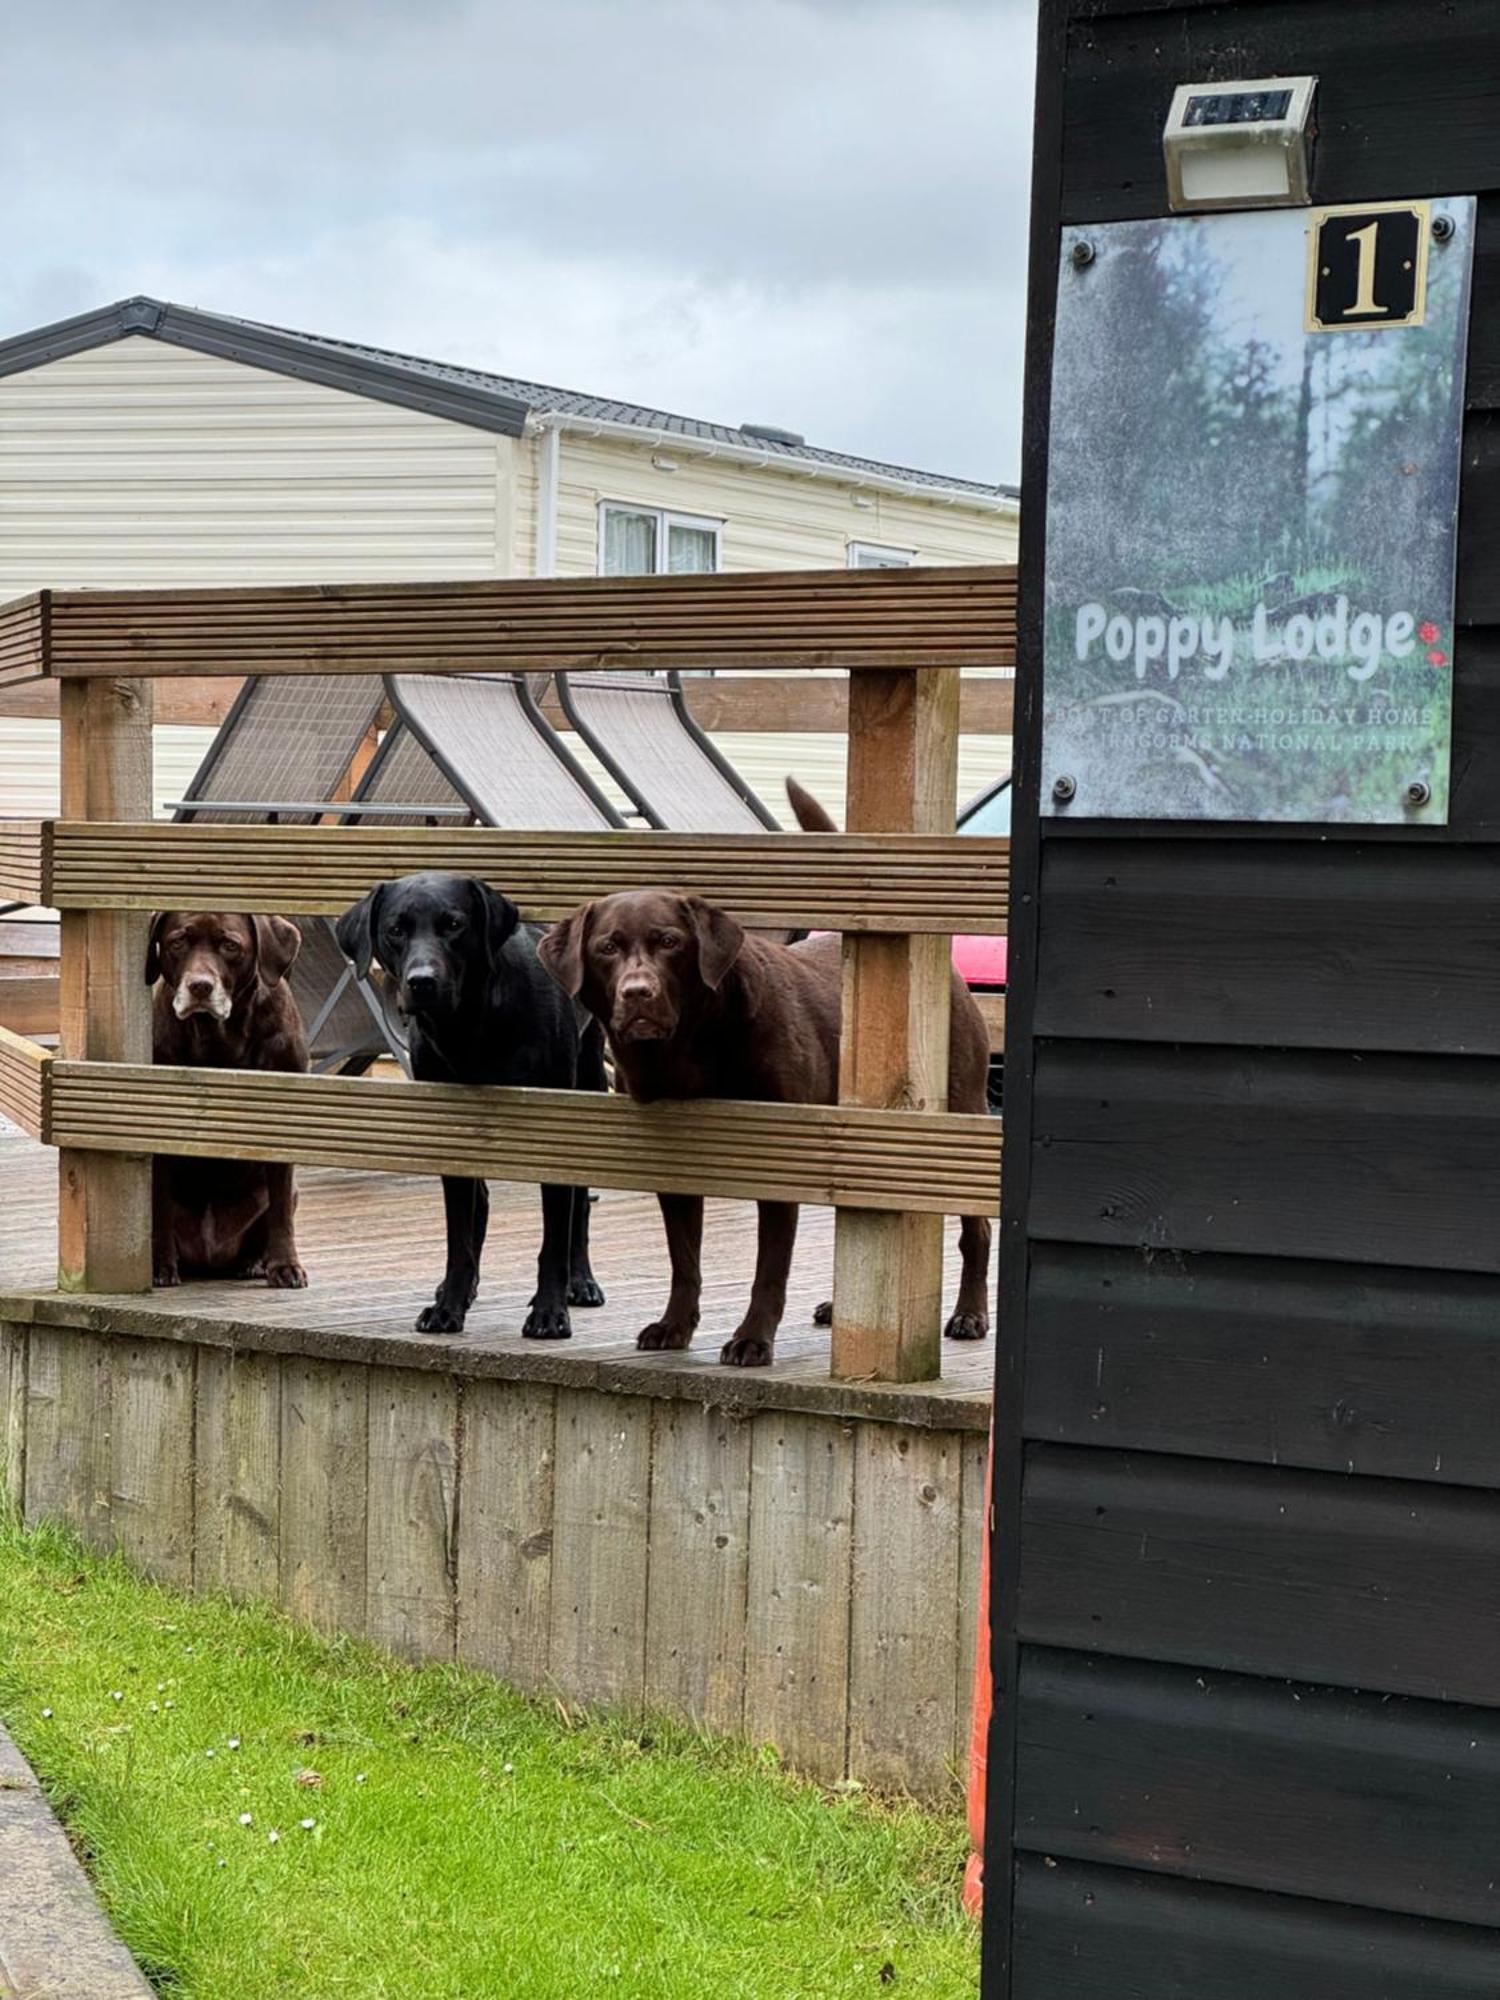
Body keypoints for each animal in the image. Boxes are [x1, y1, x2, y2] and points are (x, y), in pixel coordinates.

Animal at [148, 912, 312, 1288]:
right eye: (178, 942)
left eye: (230, 945)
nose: (200, 986)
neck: (218, 1038)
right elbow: (160, 1208)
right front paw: (160, 1265)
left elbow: (281, 1211)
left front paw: (285, 1265)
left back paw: (255, 1262)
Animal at [540, 820, 1000, 1368]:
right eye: (607, 948)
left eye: (669, 942)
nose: (637, 993)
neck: (691, 1045)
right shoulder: (674, 1161)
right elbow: (685, 1259)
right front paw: (675, 1326)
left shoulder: (781, 1154)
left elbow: (769, 1270)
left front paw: (752, 1339)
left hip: (959, 1110)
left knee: (976, 1232)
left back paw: (969, 1314)